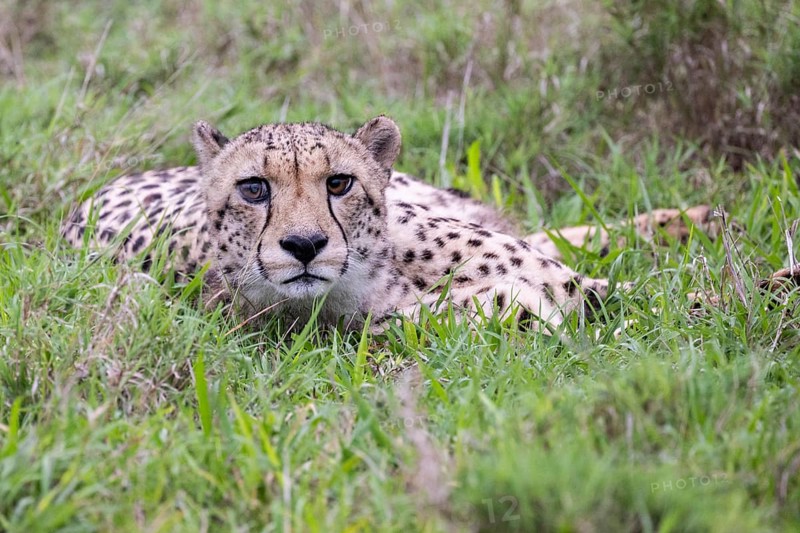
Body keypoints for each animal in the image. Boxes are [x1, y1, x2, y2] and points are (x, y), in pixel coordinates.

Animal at [61, 116, 716, 330]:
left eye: (338, 183)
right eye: (254, 189)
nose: (304, 245)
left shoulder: (562, 284)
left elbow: (670, 299)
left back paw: (693, 218)